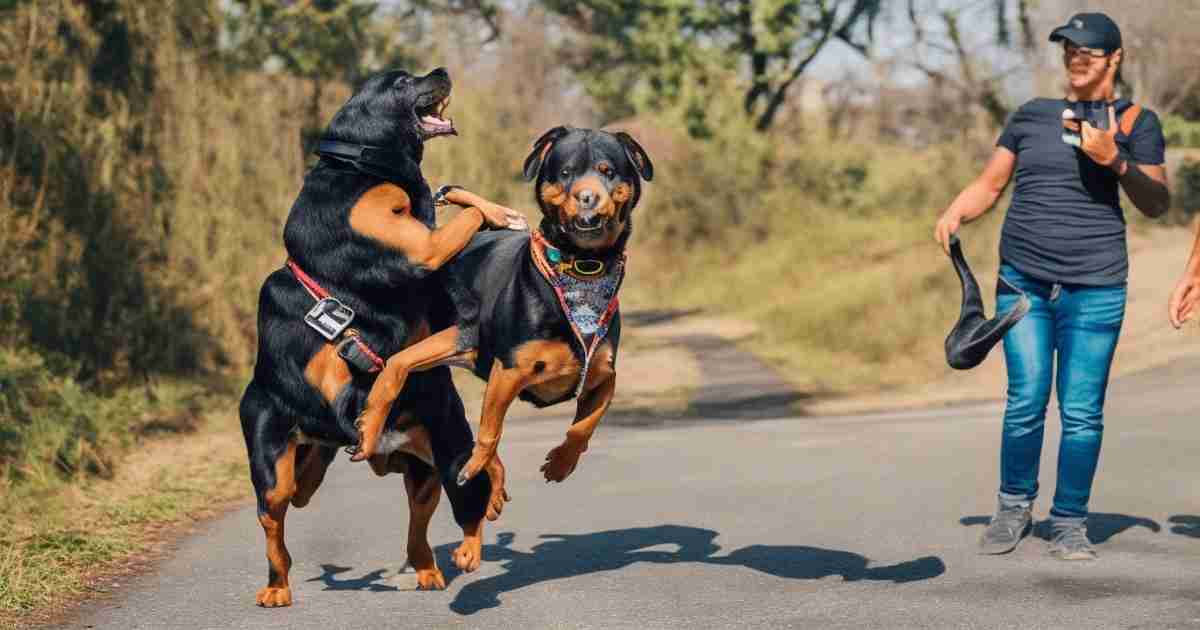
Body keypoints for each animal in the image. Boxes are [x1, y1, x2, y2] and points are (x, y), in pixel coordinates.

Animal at [240, 66, 520, 607]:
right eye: (402, 81)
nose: (442, 70)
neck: (360, 166)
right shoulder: (422, 248)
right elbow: (463, 213)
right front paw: (496, 213)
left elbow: (454, 193)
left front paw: (500, 210)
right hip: (276, 474)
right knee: (274, 526)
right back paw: (277, 587)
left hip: (425, 465)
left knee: (430, 516)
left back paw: (434, 562)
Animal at [352, 124, 657, 487]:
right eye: (566, 173)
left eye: (607, 172)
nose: (587, 197)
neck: (582, 269)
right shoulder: (508, 370)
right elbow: (490, 430)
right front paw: (475, 465)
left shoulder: (602, 375)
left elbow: (584, 426)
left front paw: (561, 462)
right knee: (395, 366)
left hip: (457, 340)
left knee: (399, 364)